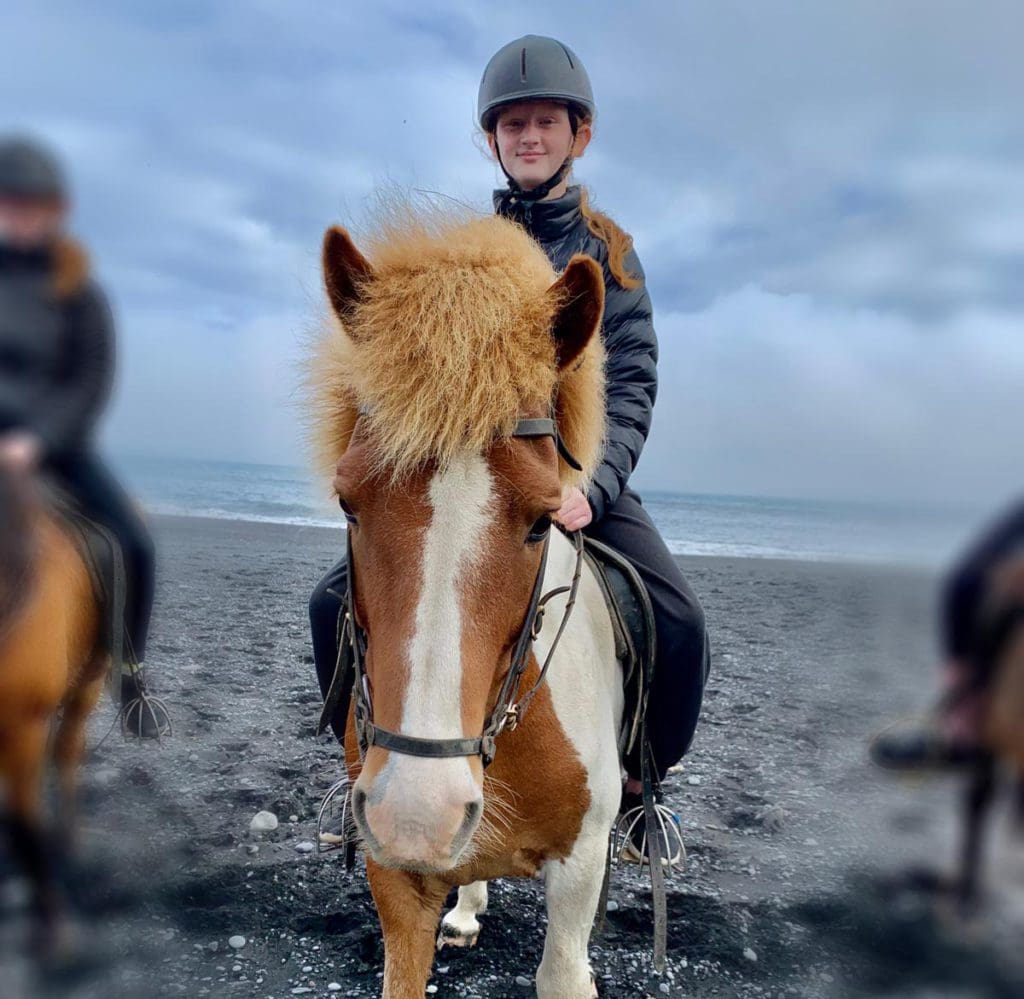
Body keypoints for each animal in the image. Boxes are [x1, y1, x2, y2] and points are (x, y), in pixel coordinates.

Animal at [303, 204, 626, 998]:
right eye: (348, 502)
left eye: (543, 519)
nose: (421, 812)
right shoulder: (393, 875)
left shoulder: (580, 868)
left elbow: (562, 970)